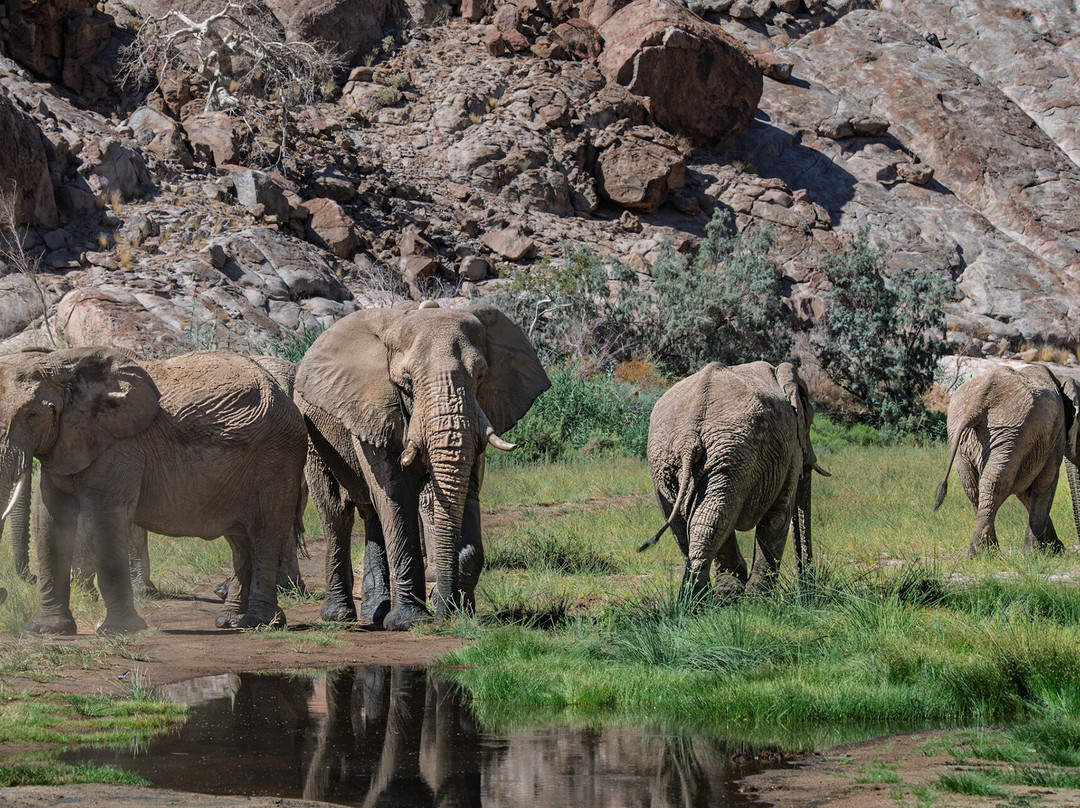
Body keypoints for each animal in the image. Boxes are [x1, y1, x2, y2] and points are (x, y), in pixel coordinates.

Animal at [0, 346, 308, 634]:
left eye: (32, 415)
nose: (7, 590)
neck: (63, 363)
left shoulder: (121, 444)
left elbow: (104, 515)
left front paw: (119, 630)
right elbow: (50, 517)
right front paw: (44, 630)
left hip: (278, 454)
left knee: (264, 533)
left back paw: (259, 622)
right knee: (240, 540)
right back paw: (230, 620)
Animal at [295, 301, 549, 630]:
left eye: (481, 376)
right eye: (407, 383)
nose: (444, 617)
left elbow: (467, 492)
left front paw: (455, 609)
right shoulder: (375, 407)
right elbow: (396, 494)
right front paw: (409, 621)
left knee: (372, 515)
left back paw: (376, 613)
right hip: (315, 438)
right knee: (337, 514)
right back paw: (340, 615)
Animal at [640, 361, 826, 596]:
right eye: (810, 420)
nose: (808, 586)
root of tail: (688, 434)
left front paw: (737, 589)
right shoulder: (791, 447)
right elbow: (778, 515)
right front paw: (758, 597)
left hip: (674, 459)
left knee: (695, 520)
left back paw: (698, 597)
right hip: (732, 453)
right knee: (714, 515)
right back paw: (704, 597)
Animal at [934, 363, 1080, 555]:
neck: (1061, 377)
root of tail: (978, 401)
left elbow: (1025, 490)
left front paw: (1052, 549)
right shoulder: (1055, 434)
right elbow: (1046, 482)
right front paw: (1039, 553)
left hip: (965, 436)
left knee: (973, 486)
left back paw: (987, 553)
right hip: (1007, 431)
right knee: (996, 484)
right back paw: (981, 553)